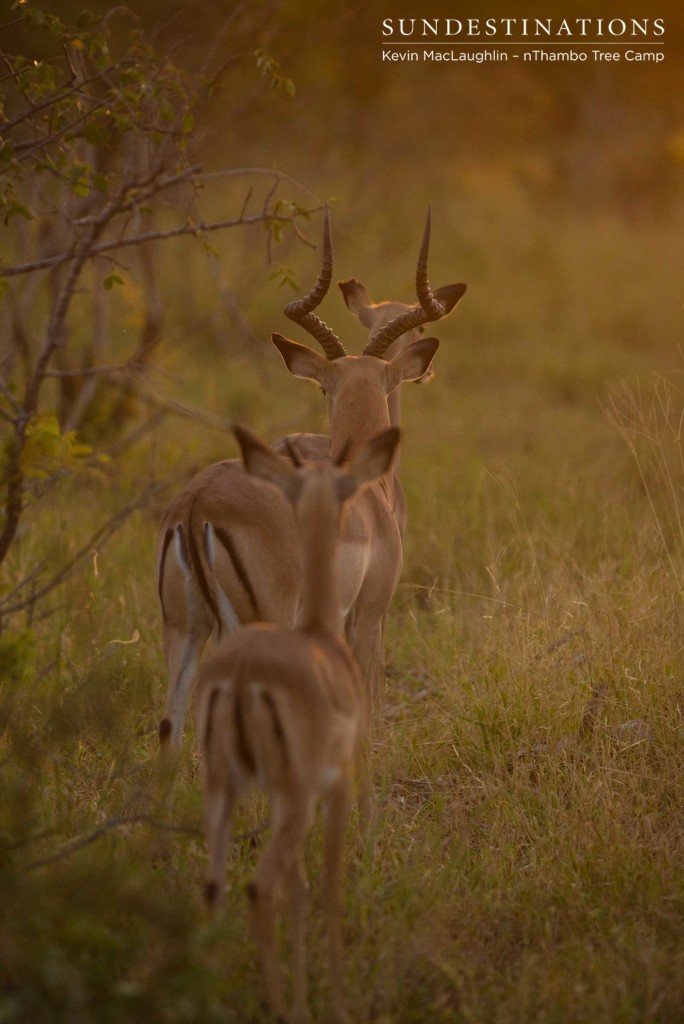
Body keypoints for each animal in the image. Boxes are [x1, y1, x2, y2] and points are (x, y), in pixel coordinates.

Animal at [194, 421, 401, 1024]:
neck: (320, 636)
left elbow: (303, 889)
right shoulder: (333, 787)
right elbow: (326, 888)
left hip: (224, 788)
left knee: (215, 887)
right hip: (293, 797)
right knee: (260, 890)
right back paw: (285, 1006)